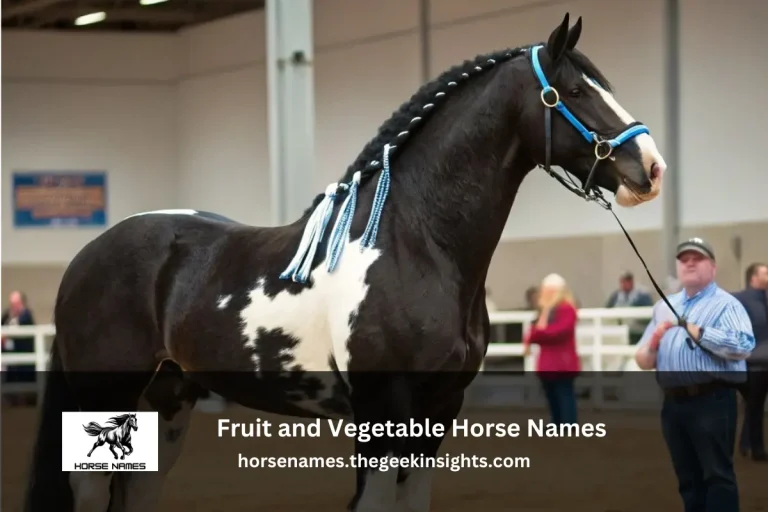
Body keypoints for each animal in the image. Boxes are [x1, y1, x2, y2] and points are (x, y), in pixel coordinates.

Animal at [24, 13, 666, 512]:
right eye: (574, 93)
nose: (652, 167)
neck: (414, 243)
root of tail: (87, 256)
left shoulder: (438, 411)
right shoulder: (382, 410)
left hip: (168, 399)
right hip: (104, 396)